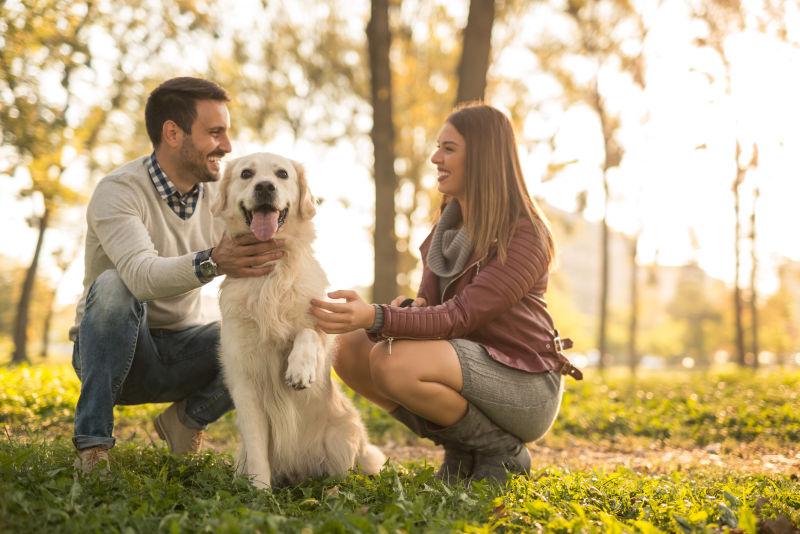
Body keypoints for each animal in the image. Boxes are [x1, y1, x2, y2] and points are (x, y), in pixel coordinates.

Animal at [214, 152, 386, 490]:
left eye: (281, 174)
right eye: (246, 174)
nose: (264, 187)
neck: (272, 272)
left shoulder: (322, 321)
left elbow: (308, 332)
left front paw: (299, 371)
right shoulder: (244, 377)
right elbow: (257, 449)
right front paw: (260, 491)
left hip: (343, 434)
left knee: (343, 474)